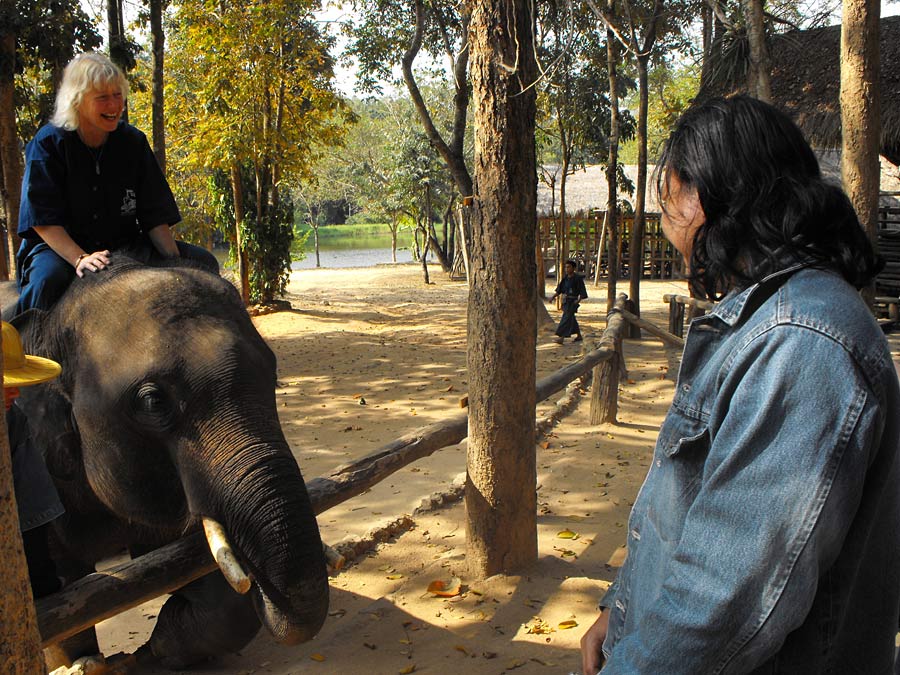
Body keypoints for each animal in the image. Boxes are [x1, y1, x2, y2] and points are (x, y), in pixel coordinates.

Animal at [11, 252, 330, 672]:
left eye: (273, 373)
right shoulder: (39, 470)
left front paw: (152, 650)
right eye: (152, 401)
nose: (260, 582)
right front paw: (96, 661)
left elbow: (197, 573)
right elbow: (61, 594)